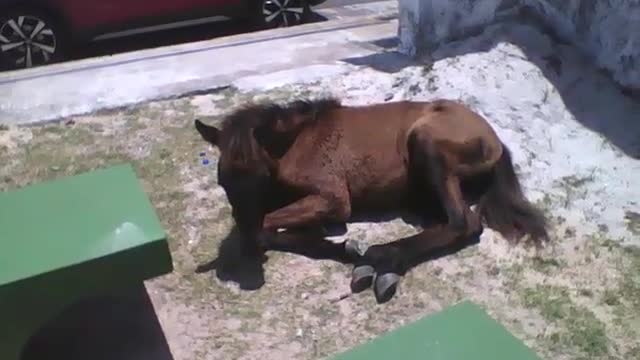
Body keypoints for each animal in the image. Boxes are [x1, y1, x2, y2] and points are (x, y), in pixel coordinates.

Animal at [195, 96, 552, 304]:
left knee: (463, 222)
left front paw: (348, 248)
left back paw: (381, 259)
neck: (295, 142)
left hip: (427, 144)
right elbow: (266, 225)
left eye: (261, 177)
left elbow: (266, 226)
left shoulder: (333, 198)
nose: (249, 271)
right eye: (223, 182)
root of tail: (496, 140)